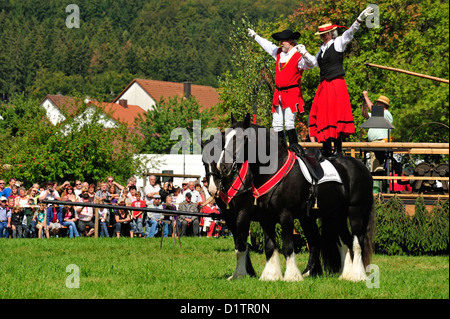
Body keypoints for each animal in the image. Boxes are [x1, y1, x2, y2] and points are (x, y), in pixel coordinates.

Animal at [214, 114, 376, 282]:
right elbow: (269, 246)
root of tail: (362, 167)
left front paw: (291, 276)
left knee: (357, 243)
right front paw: (270, 275)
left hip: (355, 213)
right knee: (346, 242)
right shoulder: (266, 218)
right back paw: (346, 275)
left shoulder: (285, 215)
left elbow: (287, 246)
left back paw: (357, 275)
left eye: (241, 138)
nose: (222, 166)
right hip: (336, 216)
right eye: (225, 137)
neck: (274, 169)